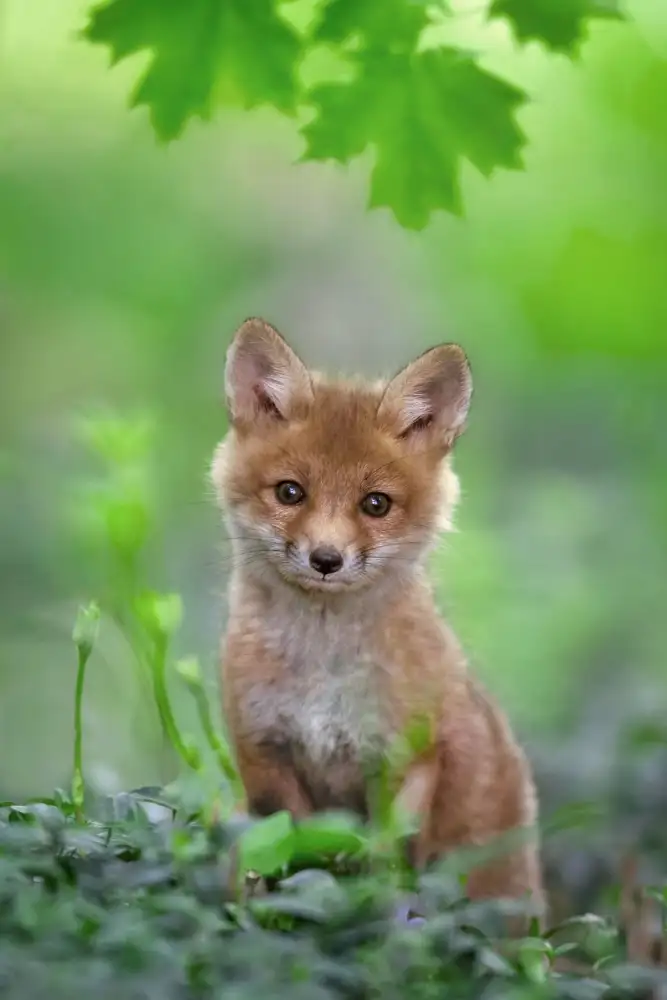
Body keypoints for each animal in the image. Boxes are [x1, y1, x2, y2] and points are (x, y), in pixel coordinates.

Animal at [211, 316, 543, 915]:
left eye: (375, 504)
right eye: (290, 492)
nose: (326, 559)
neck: (322, 677)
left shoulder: (404, 758)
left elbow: (383, 862)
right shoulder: (262, 753)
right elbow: (297, 851)